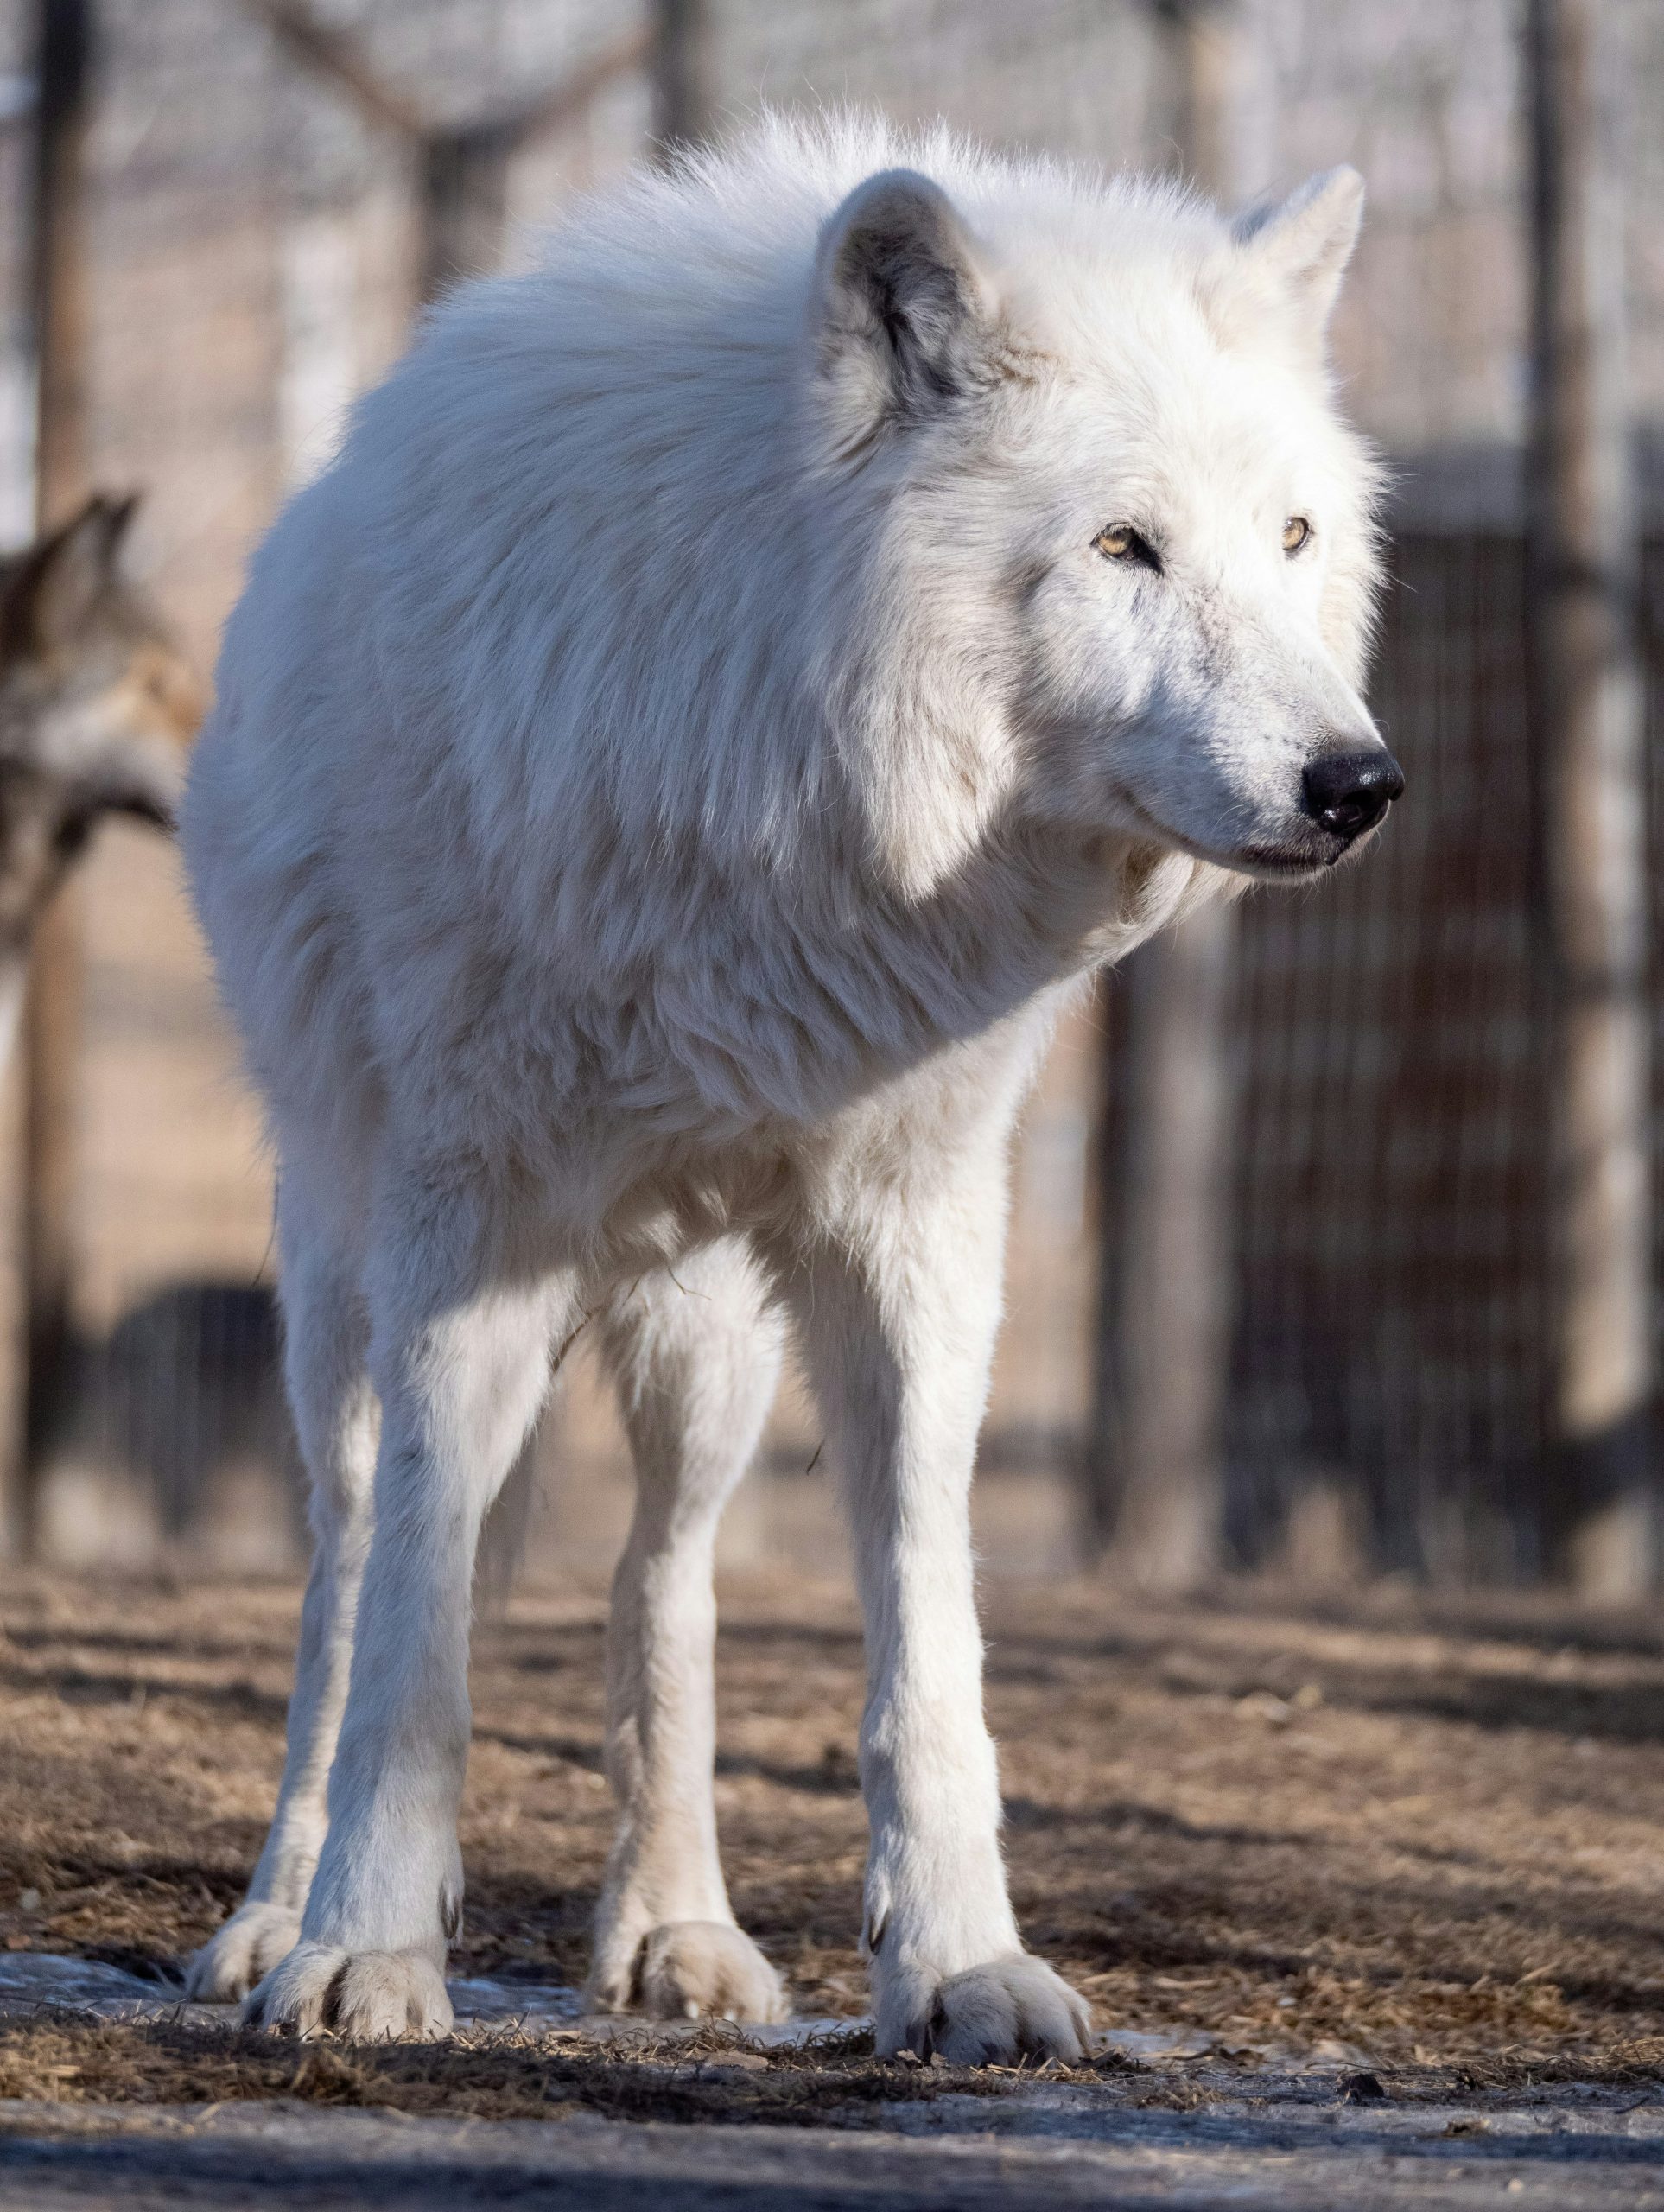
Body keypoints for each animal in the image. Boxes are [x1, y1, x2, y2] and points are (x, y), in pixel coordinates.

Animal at [180, 115, 1399, 2064]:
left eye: (1292, 536)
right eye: (1123, 545)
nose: (1356, 783)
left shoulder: (921, 1227)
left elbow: (928, 1634)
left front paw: (962, 1963)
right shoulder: (469, 1220)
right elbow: (417, 1639)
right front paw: (364, 1951)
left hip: (708, 1343)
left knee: (660, 1584)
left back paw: (680, 1930)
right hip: (342, 1292)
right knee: (348, 1573)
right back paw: (268, 1919)